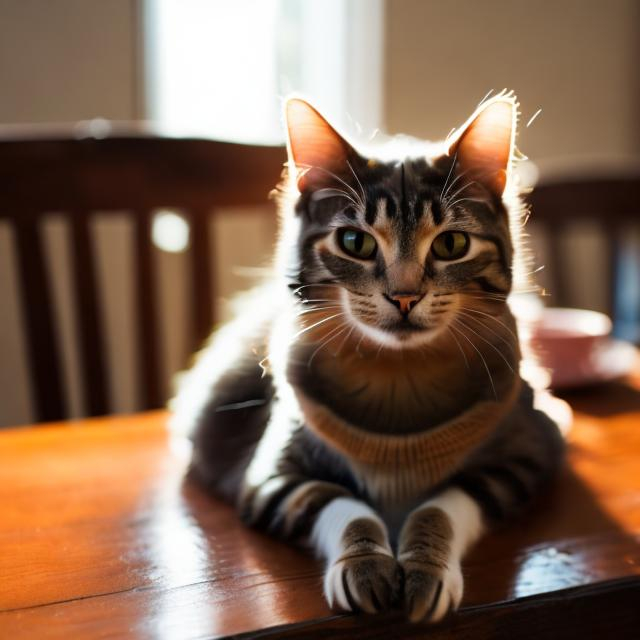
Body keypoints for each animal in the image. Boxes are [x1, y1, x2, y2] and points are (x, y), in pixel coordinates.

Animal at [171, 92, 564, 624]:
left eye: (452, 243)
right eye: (354, 242)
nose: (404, 297)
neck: (398, 377)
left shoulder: (524, 457)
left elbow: (441, 505)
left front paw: (425, 570)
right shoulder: (269, 477)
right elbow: (341, 506)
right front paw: (363, 565)